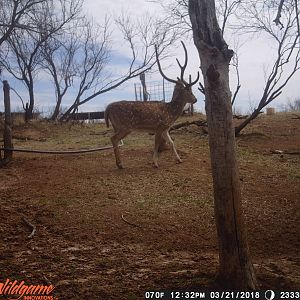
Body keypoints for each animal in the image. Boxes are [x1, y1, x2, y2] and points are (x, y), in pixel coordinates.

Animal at [105, 41, 199, 169]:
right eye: (189, 91)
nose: (195, 99)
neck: (170, 113)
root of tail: (107, 108)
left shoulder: (165, 129)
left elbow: (172, 142)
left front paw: (179, 159)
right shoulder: (159, 127)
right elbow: (156, 145)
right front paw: (155, 163)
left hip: (117, 126)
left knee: (114, 138)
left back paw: (119, 164)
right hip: (124, 126)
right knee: (113, 138)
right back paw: (120, 164)